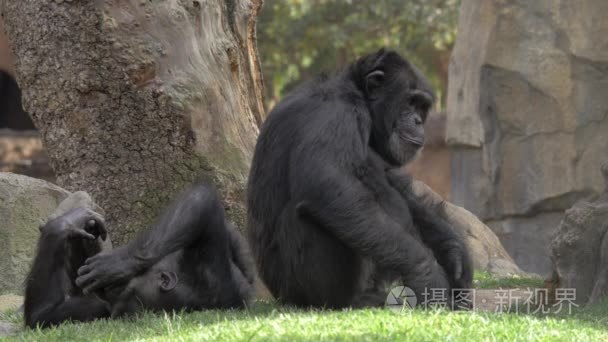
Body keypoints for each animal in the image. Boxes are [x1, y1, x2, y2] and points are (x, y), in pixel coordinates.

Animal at [24, 184, 254, 328]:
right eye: (113, 297)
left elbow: (201, 201)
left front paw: (117, 265)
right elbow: (44, 315)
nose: (107, 294)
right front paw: (83, 226)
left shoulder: (208, 272)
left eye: (120, 291)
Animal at [246, 47, 470, 308]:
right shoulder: (334, 113)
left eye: (422, 106)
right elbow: (326, 183)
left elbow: (395, 181)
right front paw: (428, 275)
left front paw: (452, 248)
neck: (359, 96)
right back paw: (360, 299)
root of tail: (279, 295)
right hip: (300, 286)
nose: (417, 120)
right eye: (410, 102)